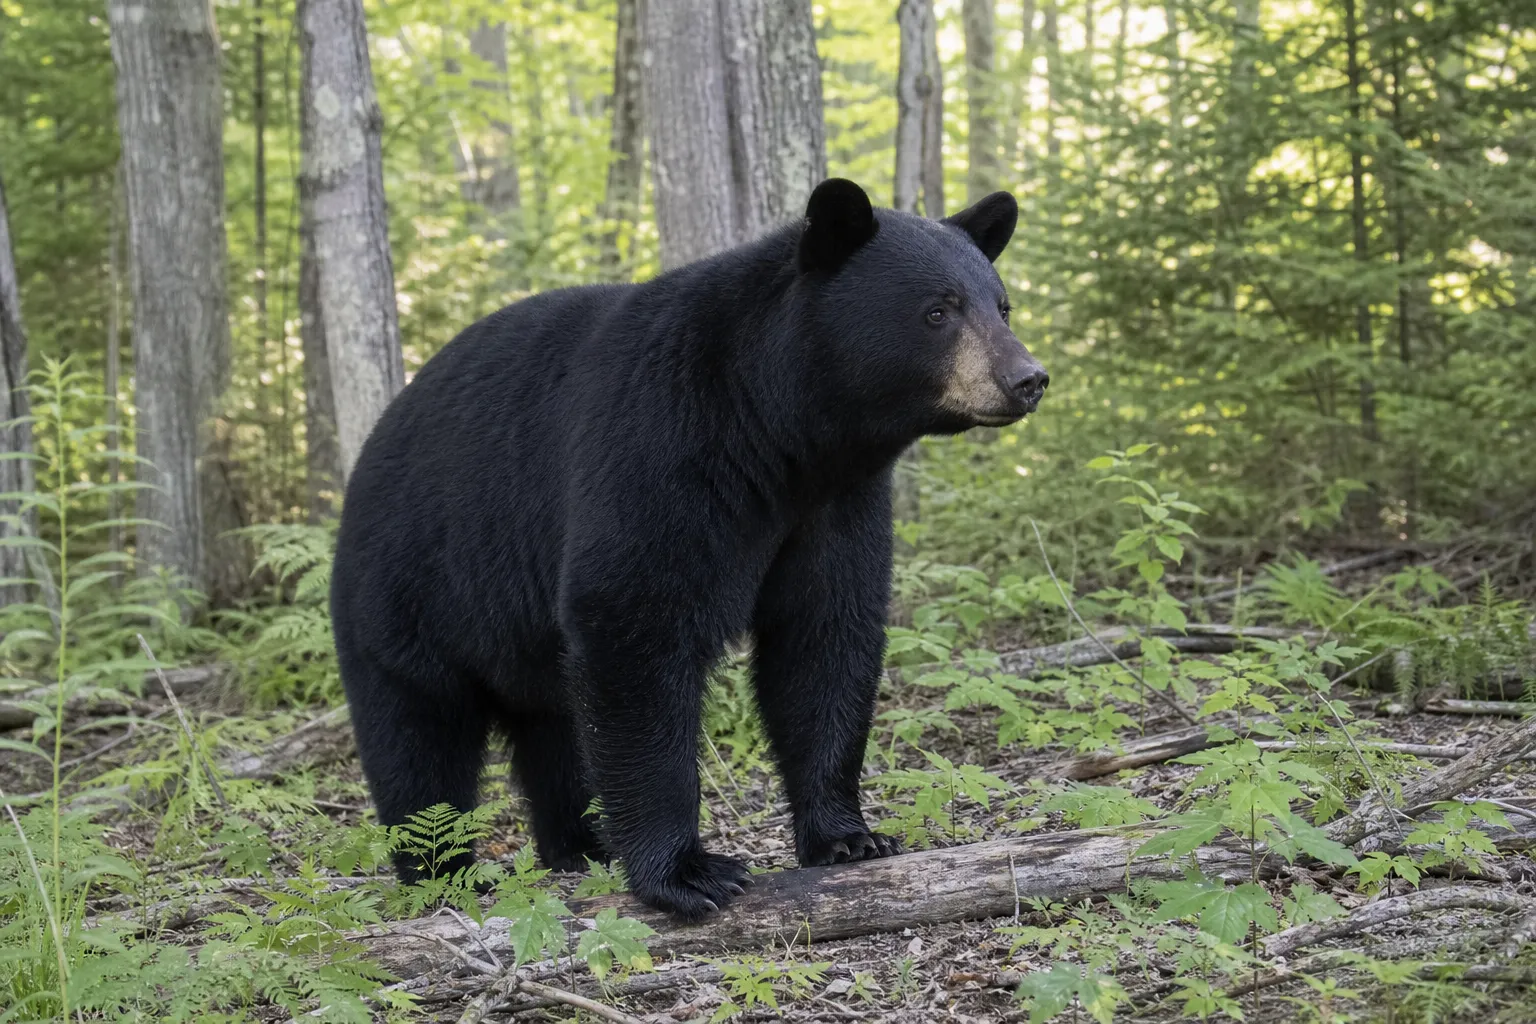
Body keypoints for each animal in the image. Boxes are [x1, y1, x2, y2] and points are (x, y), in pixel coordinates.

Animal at [330, 178, 1048, 919]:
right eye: (938, 311)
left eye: (1001, 305)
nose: (1028, 377)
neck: (777, 432)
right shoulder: (658, 448)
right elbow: (635, 628)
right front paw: (686, 873)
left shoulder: (835, 505)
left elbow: (825, 639)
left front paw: (848, 836)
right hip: (409, 589)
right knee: (418, 742)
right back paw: (445, 873)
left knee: (555, 728)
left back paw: (583, 845)